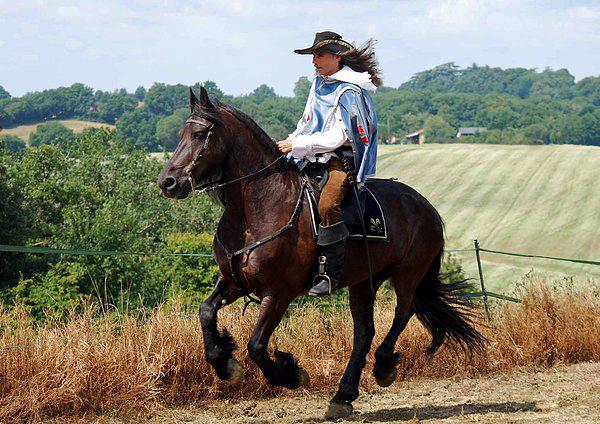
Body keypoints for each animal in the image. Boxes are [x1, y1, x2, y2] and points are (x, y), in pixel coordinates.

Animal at [156, 88, 482, 420]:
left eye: (198, 134)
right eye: (180, 134)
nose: (167, 182)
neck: (258, 209)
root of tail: (426, 207)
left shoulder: (279, 293)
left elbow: (256, 345)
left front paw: (291, 375)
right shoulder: (235, 281)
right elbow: (206, 311)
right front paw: (225, 364)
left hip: (408, 273)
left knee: (403, 314)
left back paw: (384, 366)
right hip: (364, 282)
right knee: (364, 333)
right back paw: (343, 396)